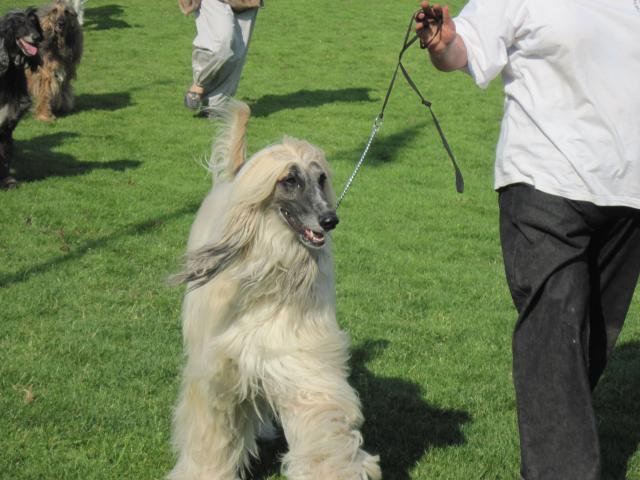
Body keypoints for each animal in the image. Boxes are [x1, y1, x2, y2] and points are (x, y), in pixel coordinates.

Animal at [168, 99, 382, 478]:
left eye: (321, 178)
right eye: (290, 180)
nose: (330, 220)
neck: (272, 275)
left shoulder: (297, 355)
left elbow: (317, 411)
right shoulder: (219, 369)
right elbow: (213, 428)